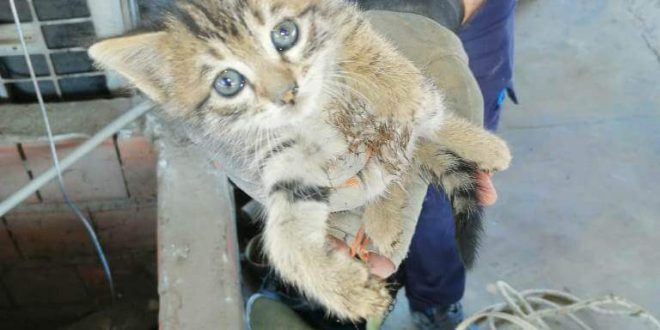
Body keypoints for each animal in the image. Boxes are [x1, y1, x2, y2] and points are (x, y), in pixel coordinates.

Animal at [87, 0, 510, 320]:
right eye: (228, 82)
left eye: (284, 33)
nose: (287, 93)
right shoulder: (286, 153)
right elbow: (287, 236)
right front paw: (344, 289)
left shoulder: (345, 23)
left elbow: (389, 71)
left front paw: (416, 104)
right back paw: (385, 217)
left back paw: (479, 146)